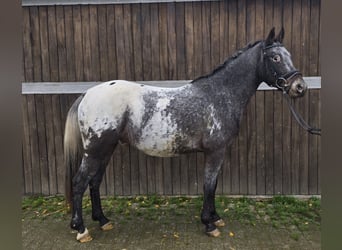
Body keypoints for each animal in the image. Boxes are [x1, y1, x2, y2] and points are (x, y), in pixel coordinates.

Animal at [63, 27, 308, 242]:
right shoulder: (215, 152)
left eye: (289, 55)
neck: (220, 94)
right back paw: (81, 229)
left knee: (94, 182)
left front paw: (216, 218)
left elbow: (214, 185)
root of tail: (87, 94)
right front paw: (209, 224)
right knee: (79, 182)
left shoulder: (218, 153)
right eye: (275, 57)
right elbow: (208, 186)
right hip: (95, 151)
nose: (299, 87)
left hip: (106, 149)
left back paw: (103, 220)